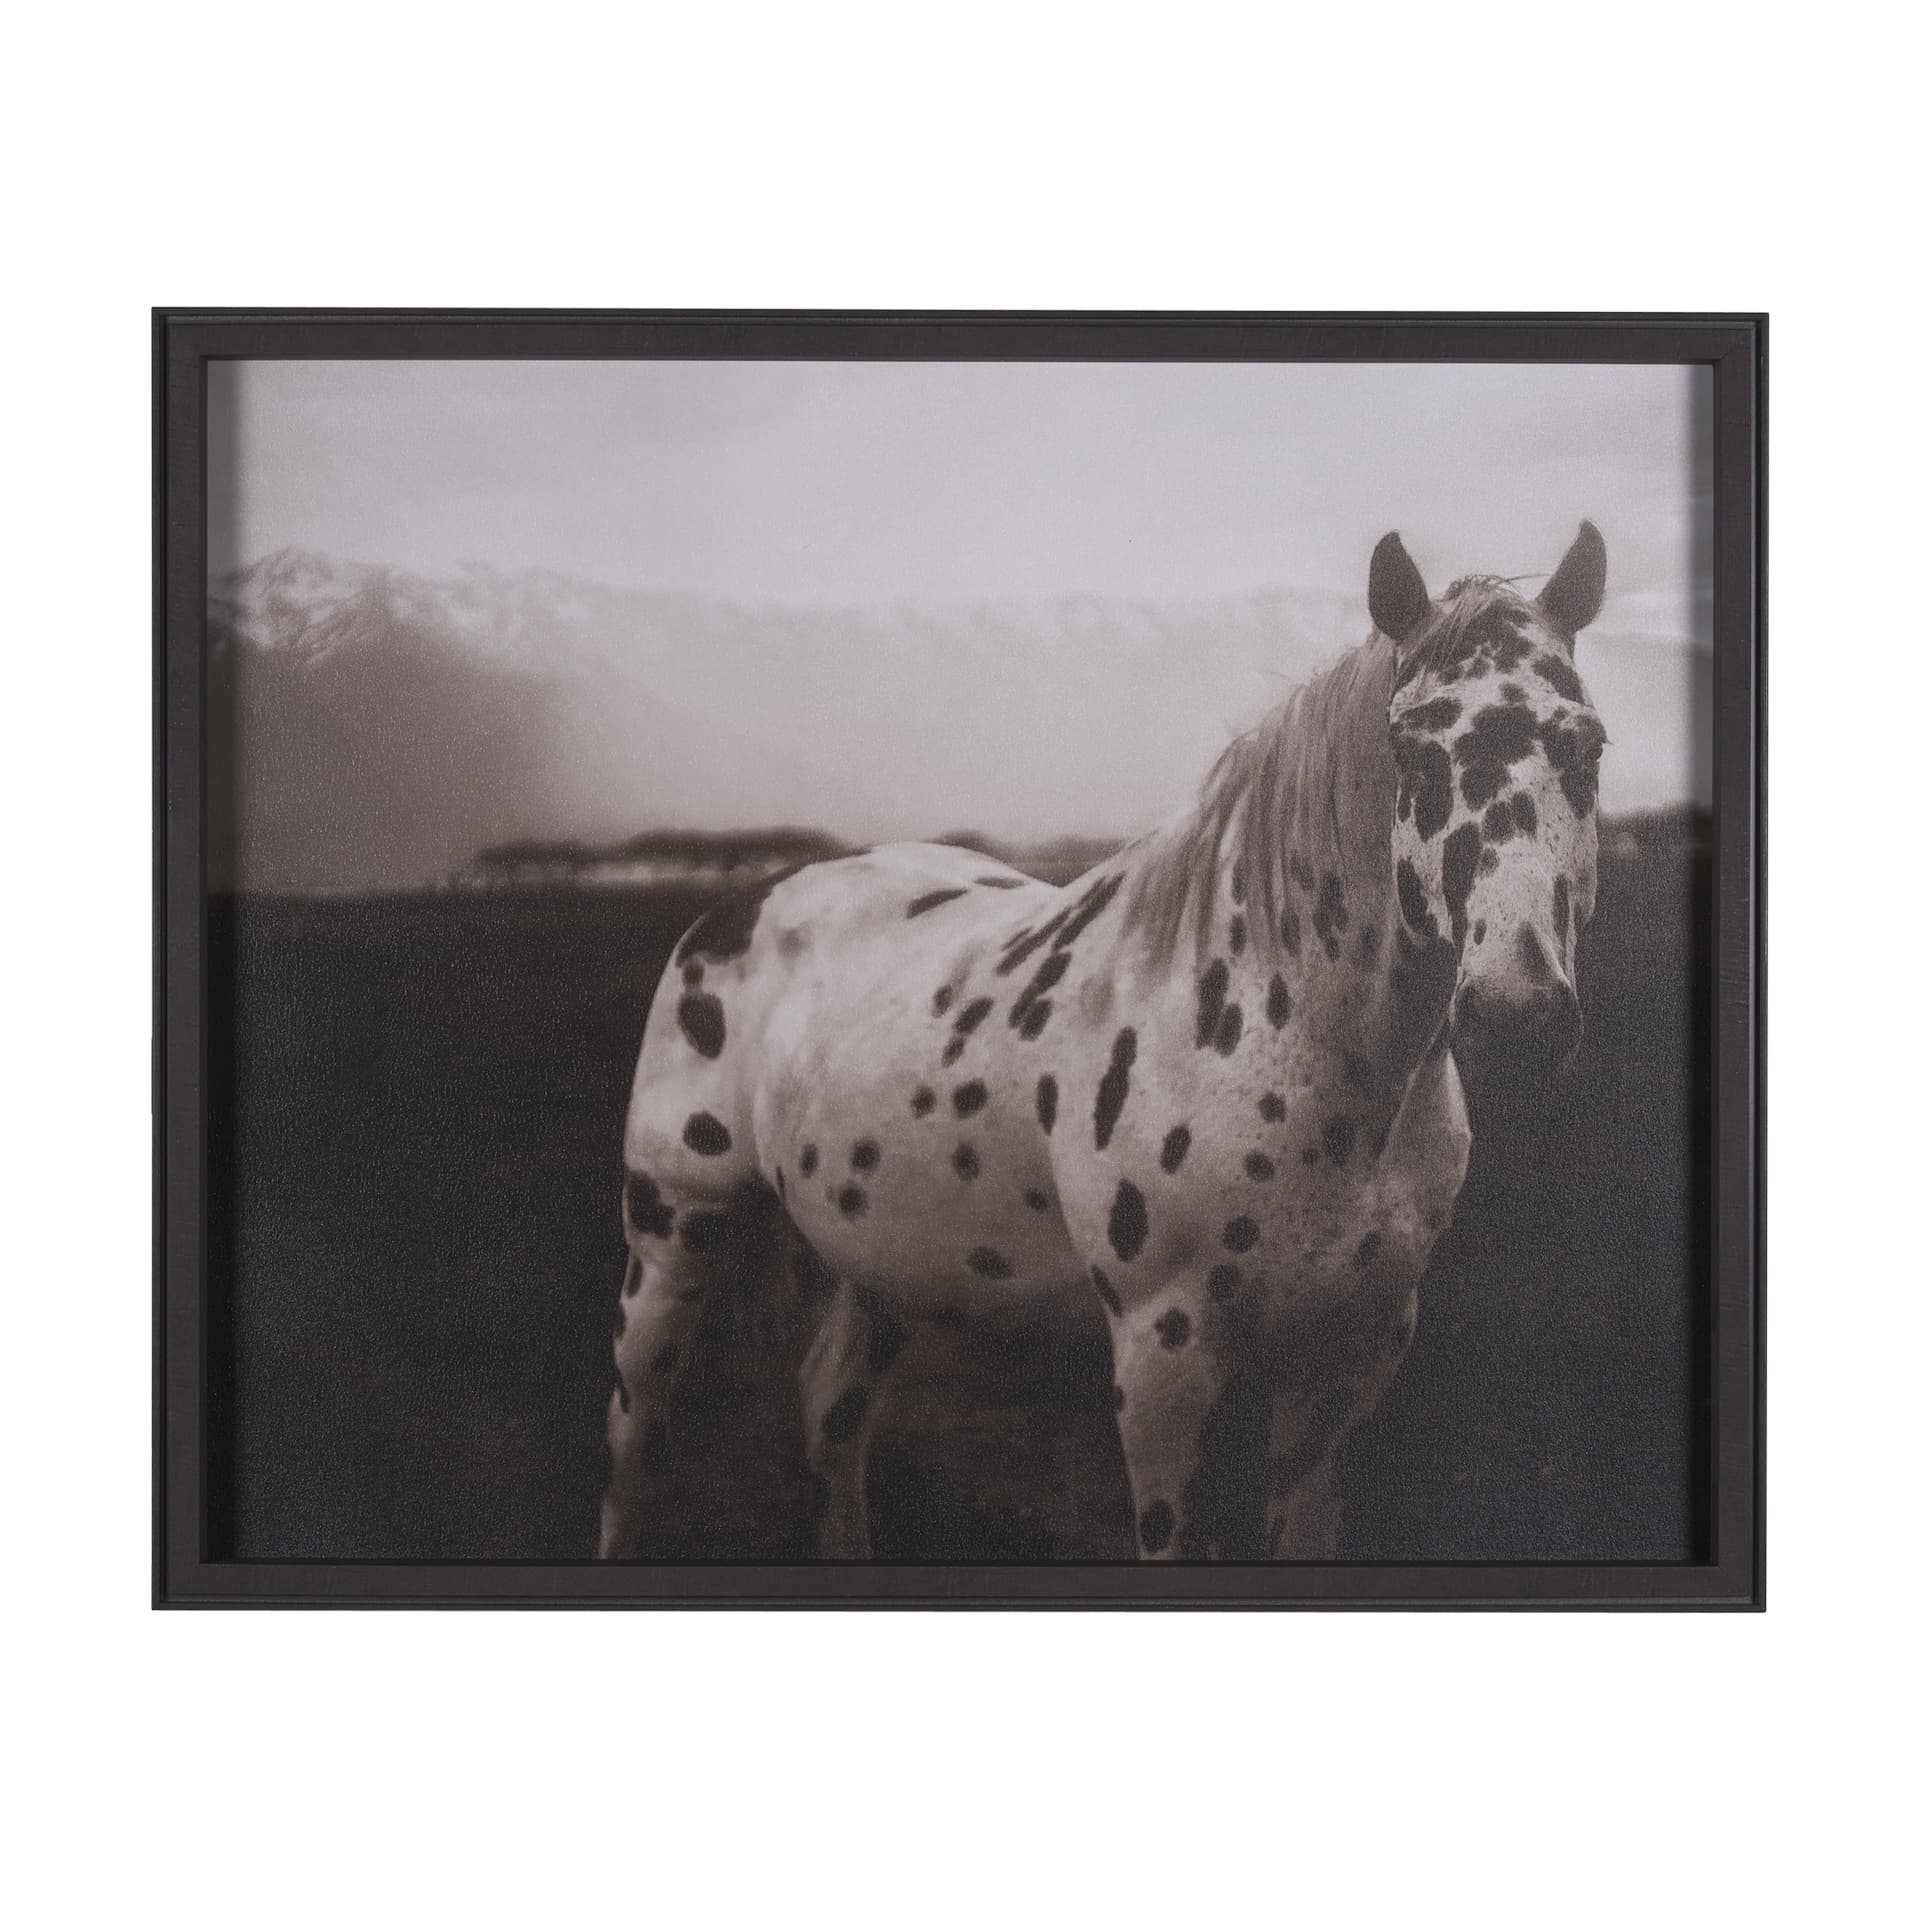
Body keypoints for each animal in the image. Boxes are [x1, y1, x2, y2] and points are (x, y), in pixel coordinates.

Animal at [599, 523, 1610, 1561]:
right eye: (1411, 749)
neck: (1281, 1033)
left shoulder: (1345, 1363)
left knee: (830, 1411)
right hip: (673, 1238)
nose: (1516, 1016)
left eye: (1587, 747)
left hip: (878, 1262)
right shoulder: (1164, 1360)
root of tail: (740, 905)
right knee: (634, 1438)